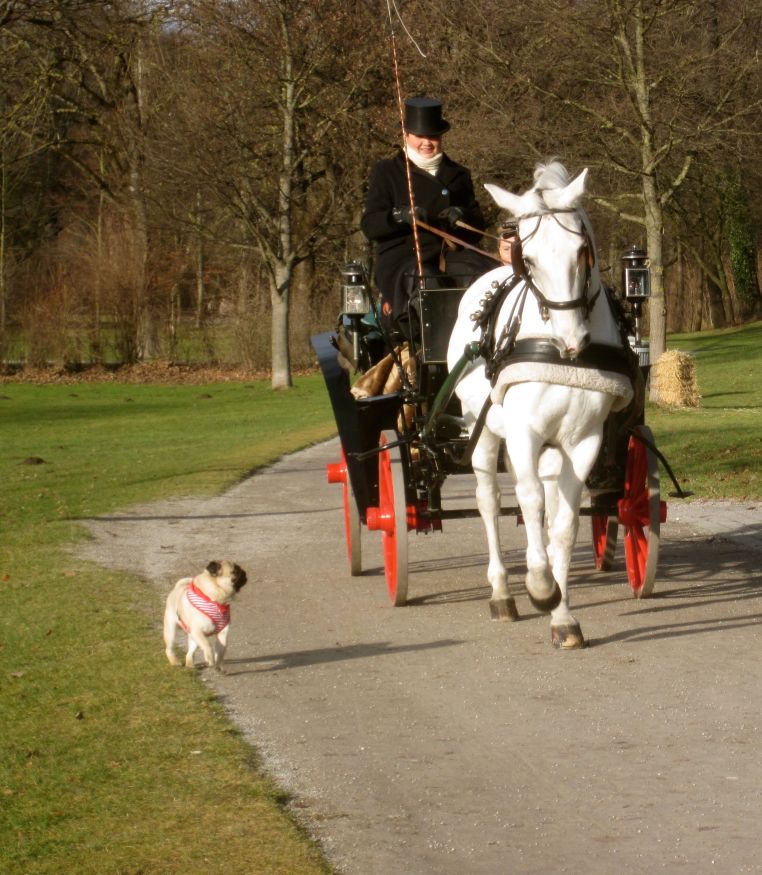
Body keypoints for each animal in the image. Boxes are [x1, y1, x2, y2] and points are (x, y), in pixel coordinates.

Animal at [446, 161, 635, 649]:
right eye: (528, 260)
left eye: (582, 251)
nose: (571, 342)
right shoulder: (523, 432)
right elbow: (529, 502)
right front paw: (539, 584)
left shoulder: (583, 440)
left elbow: (563, 524)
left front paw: (563, 615)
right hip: (485, 432)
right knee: (491, 500)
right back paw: (501, 592)